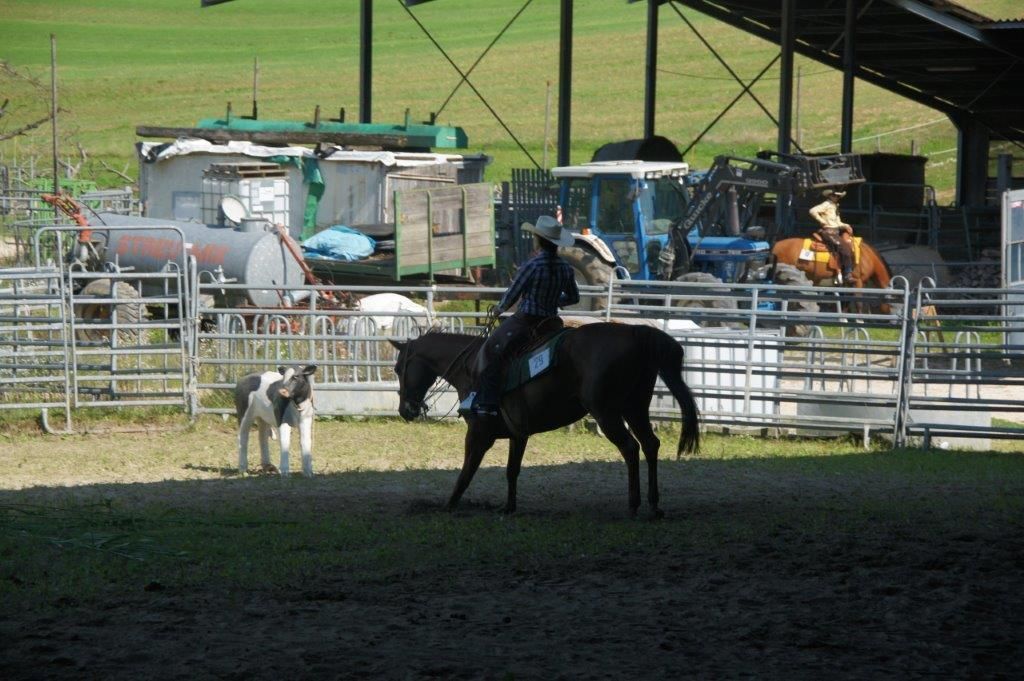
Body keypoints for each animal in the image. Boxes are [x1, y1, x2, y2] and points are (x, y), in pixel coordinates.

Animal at [390, 323, 701, 517]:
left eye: (397, 368)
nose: (405, 410)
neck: (472, 368)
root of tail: (635, 333)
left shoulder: (478, 435)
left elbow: (466, 472)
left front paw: (449, 505)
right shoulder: (518, 434)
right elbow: (511, 471)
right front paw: (509, 507)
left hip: (607, 413)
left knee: (630, 448)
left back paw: (634, 505)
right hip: (634, 408)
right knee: (650, 444)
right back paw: (654, 505)